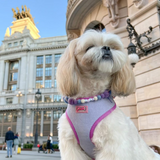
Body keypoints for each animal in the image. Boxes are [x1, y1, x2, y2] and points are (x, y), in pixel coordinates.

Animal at [56, 30, 159, 160]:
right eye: (89, 47)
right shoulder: (71, 146)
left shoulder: (114, 145)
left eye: (113, 46)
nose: (106, 48)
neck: (90, 99)